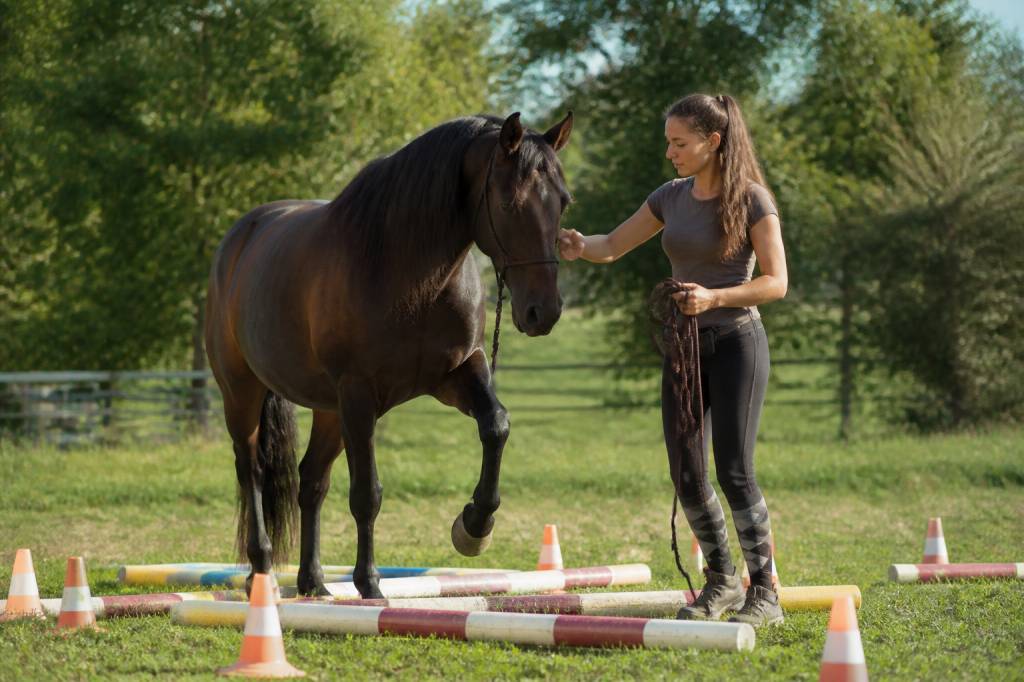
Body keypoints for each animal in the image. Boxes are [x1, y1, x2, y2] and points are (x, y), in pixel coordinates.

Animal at [204, 112, 574, 598]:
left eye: (563, 203)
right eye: (510, 203)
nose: (543, 312)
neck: (410, 273)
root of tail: (238, 238)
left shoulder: (457, 373)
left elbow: (496, 425)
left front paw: (474, 526)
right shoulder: (360, 395)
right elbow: (367, 495)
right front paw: (370, 584)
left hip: (329, 410)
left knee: (311, 482)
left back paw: (313, 583)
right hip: (243, 393)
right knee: (253, 475)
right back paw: (262, 571)